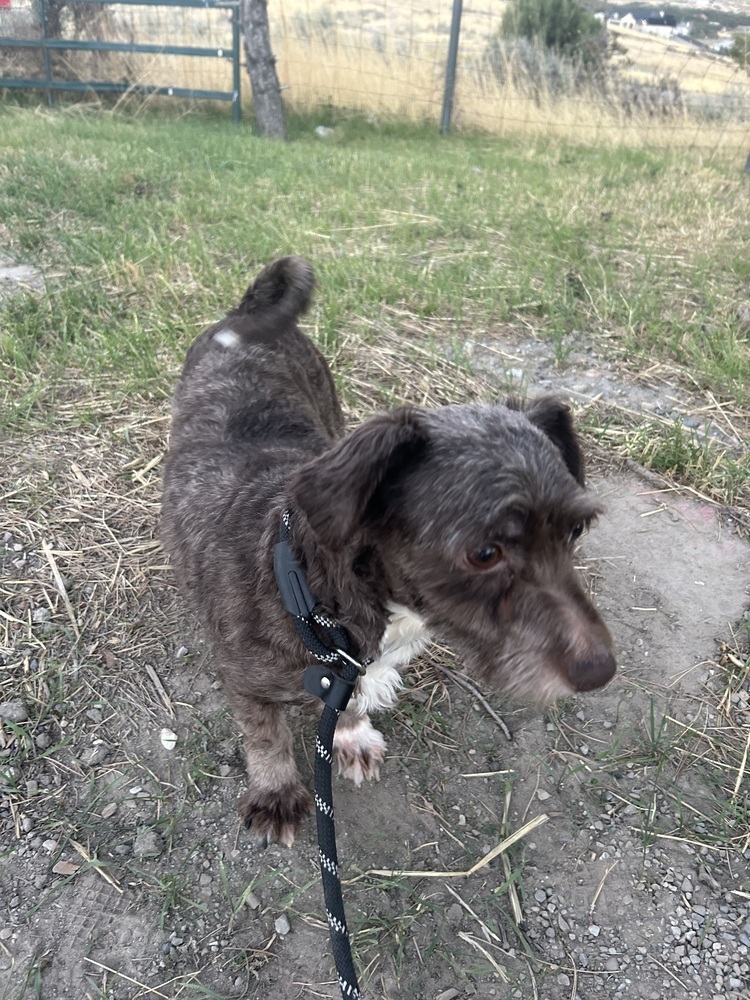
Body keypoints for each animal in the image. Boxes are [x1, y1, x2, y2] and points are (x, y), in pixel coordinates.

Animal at [160, 256, 616, 844]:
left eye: (575, 530)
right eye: (484, 553)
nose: (600, 671)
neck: (312, 593)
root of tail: (246, 310)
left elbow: (346, 704)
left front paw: (351, 734)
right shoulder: (246, 685)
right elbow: (266, 736)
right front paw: (277, 793)